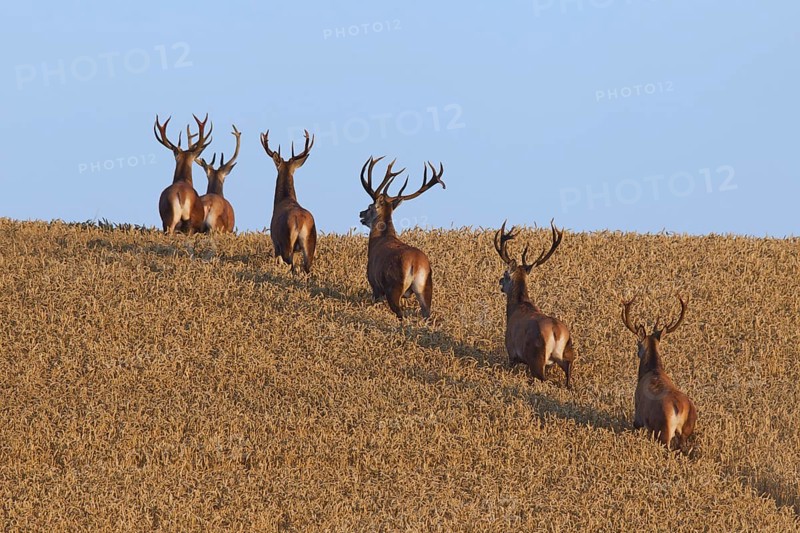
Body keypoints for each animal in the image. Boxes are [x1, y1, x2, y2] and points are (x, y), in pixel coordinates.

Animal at [260, 129, 317, 273]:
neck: (284, 199)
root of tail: (300, 221)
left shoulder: (275, 242)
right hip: (310, 244)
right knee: (306, 267)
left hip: (286, 243)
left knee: (291, 265)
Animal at [359, 156, 445, 320]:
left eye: (369, 206)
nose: (360, 213)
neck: (380, 239)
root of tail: (416, 263)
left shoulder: (374, 284)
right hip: (426, 286)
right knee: (427, 313)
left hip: (393, 286)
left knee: (400, 313)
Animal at [494, 220, 575, 388]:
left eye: (505, 274)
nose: (500, 281)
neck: (516, 307)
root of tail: (556, 331)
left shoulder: (511, 352)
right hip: (566, 351)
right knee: (568, 372)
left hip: (536, 355)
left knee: (543, 377)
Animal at [621, 296, 697, 451]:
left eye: (638, 345)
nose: (637, 352)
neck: (653, 370)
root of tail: (680, 408)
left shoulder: (638, 410)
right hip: (687, 428)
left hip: (663, 430)